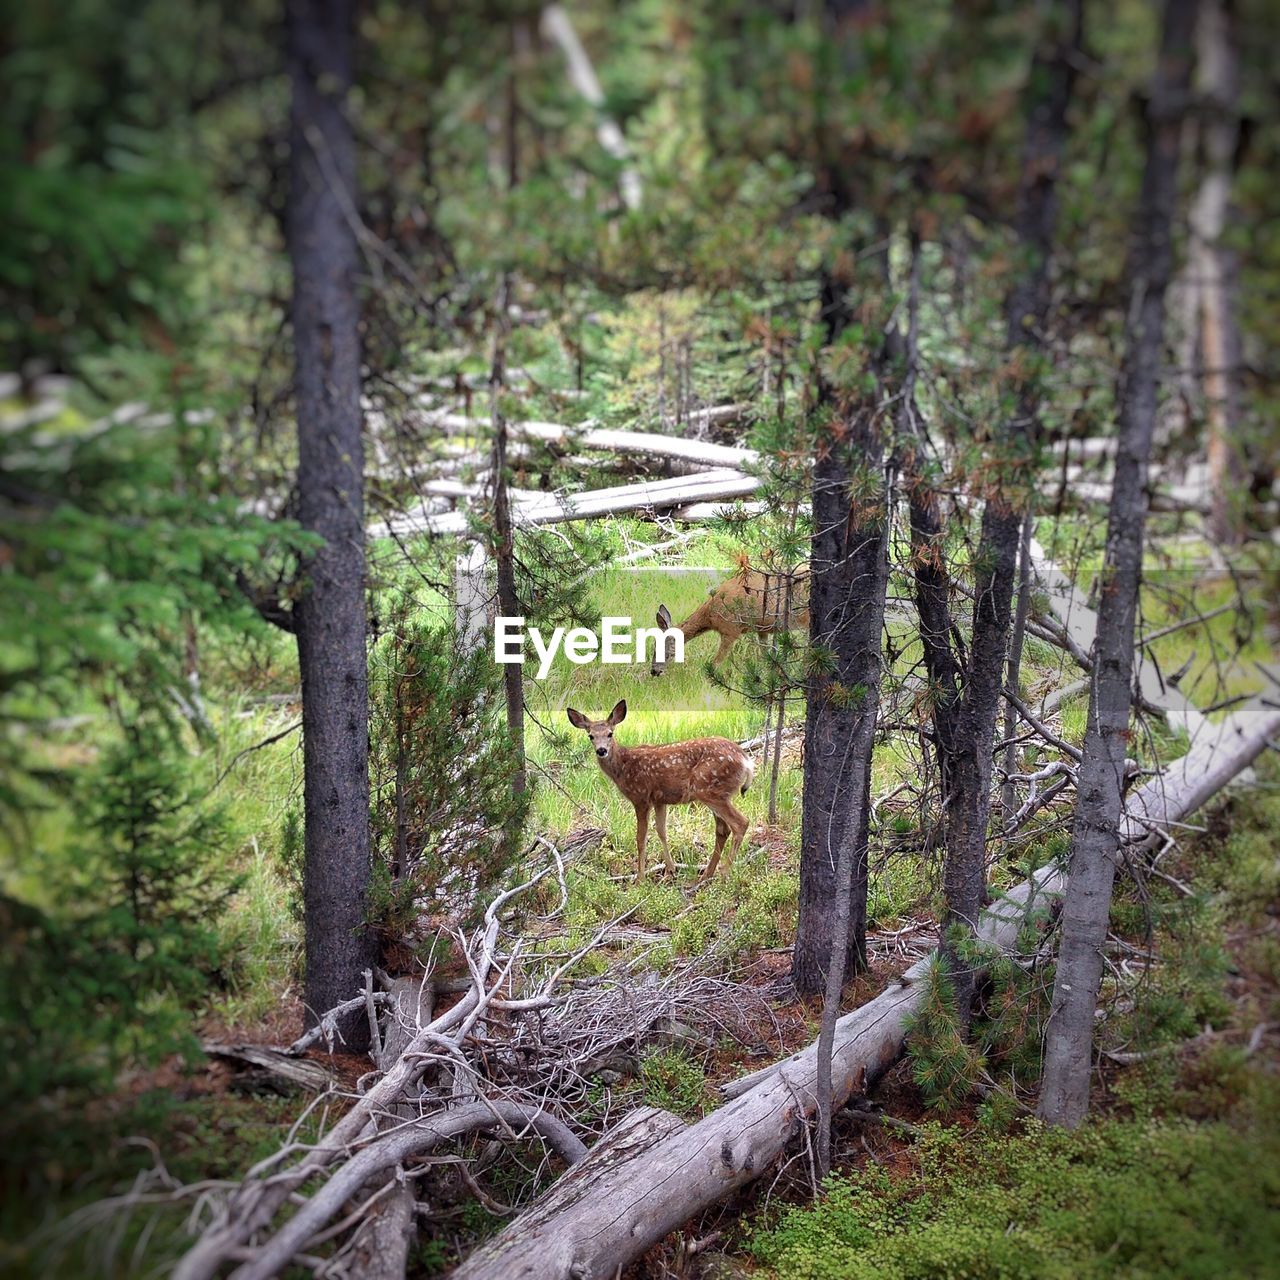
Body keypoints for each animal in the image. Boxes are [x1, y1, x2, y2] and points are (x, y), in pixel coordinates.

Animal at [568, 696, 752, 885]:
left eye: (610, 734)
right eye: (591, 736)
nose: (601, 750)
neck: (623, 767)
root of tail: (746, 761)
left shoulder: (641, 797)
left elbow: (641, 838)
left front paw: (640, 879)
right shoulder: (659, 800)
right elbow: (661, 831)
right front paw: (670, 870)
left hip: (709, 790)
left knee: (740, 823)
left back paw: (724, 873)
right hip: (717, 792)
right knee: (723, 830)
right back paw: (706, 875)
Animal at [650, 563, 808, 675]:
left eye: (661, 650)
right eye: (653, 648)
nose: (654, 671)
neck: (710, 615)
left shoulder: (730, 630)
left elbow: (715, 663)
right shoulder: (762, 629)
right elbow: (765, 656)